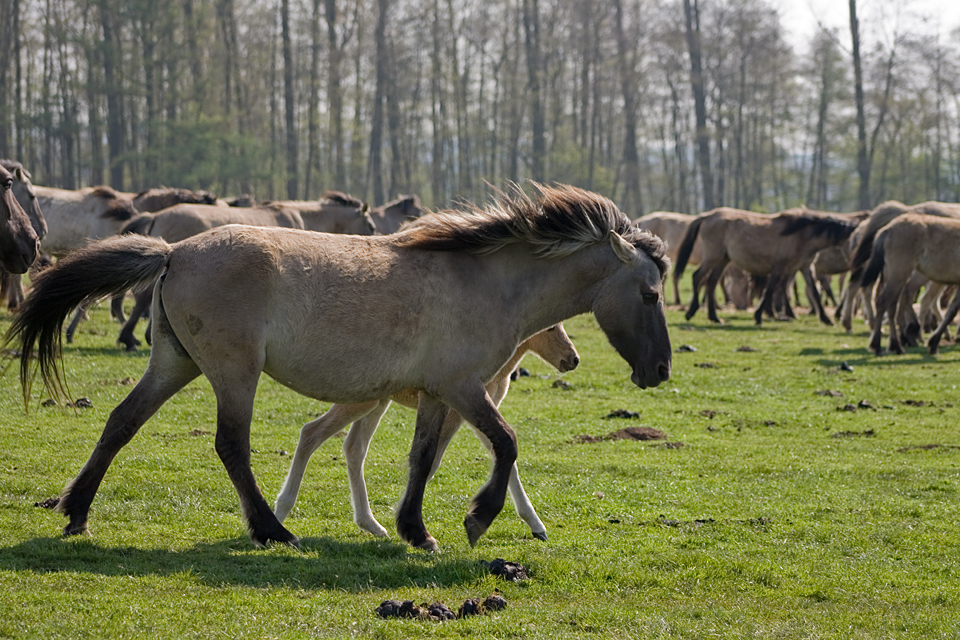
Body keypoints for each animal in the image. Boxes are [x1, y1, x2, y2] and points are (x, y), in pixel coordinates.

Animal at [274, 324, 580, 540]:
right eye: (550, 328)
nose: (573, 359)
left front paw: (537, 526)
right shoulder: (459, 411)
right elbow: (432, 461)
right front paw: (408, 520)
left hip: (377, 402)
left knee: (353, 447)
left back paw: (371, 524)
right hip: (363, 402)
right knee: (311, 433)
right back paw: (282, 510)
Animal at [676, 208, 864, 324]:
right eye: (856, 239)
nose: (859, 260)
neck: (802, 234)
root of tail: (707, 216)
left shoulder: (804, 267)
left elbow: (815, 293)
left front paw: (826, 319)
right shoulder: (780, 267)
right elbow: (771, 290)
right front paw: (759, 316)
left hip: (723, 260)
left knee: (711, 282)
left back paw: (714, 316)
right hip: (712, 257)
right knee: (698, 277)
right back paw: (691, 311)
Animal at [860, 212, 960, 358]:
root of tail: (888, 228)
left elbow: (951, 311)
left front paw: (933, 343)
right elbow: (951, 312)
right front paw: (934, 343)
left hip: (896, 277)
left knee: (892, 306)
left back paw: (896, 345)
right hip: (899, 275)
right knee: (883, 302)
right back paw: (879, 346)